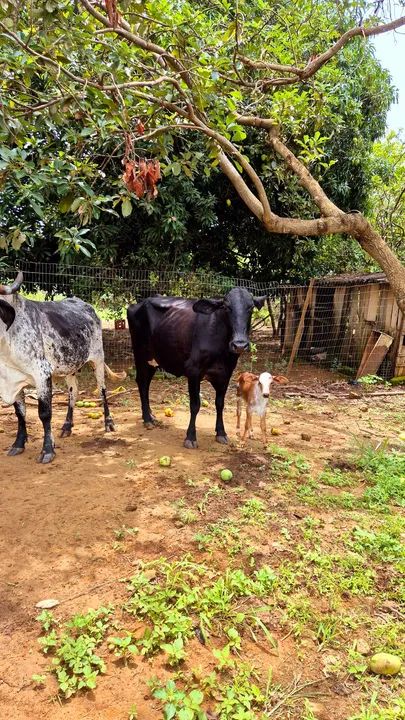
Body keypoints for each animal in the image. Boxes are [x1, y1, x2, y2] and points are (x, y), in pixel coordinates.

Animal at [0, 271, 125, 464]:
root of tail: (86, 305)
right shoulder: (13, 379)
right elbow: (20, 413)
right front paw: (18, 444)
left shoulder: (42, 374)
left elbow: (45, 413)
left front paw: (47, 450)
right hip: (70, 366)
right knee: (74, 392)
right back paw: (67, 426)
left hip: (98, 358)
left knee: (103, 390)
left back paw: (109, 423)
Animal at [127, 287, 266, 448]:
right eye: (226, 307)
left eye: (250, 307)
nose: (239, 344)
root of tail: (139, 303)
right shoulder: (193, 371)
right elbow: (195, 405)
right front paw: (191, 437)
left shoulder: (225, 374)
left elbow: (220, 404)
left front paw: (221, 433)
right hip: (140, 353)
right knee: (142, 382)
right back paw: (147, 419)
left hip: (153, 359)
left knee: (147, 383)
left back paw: (150, 415)